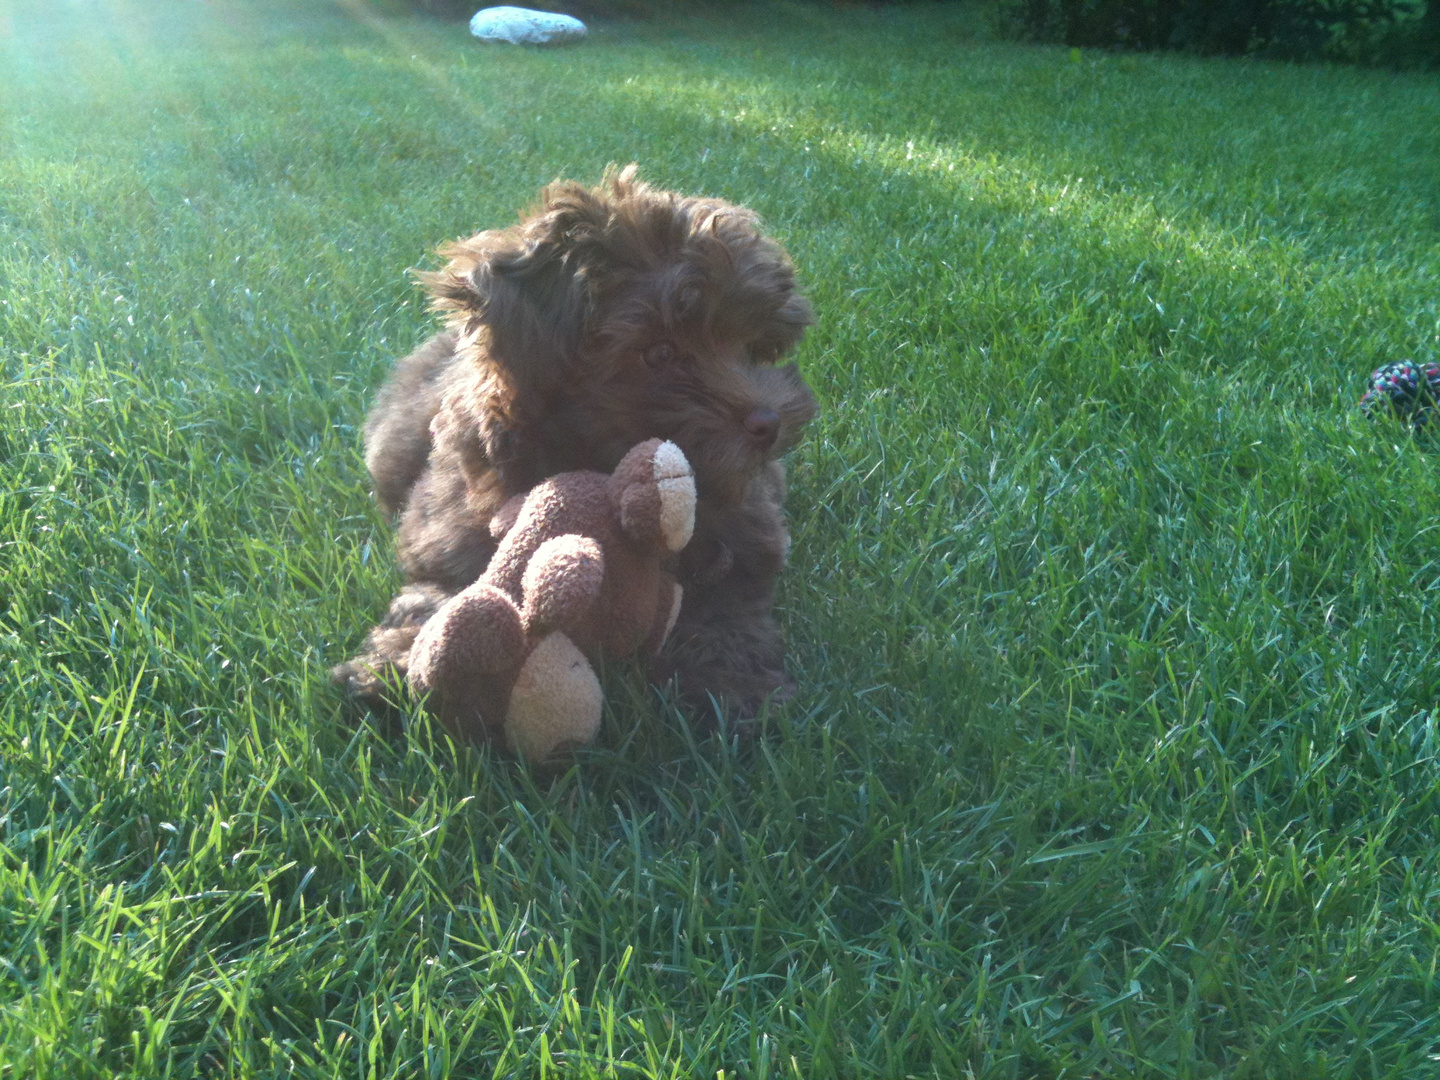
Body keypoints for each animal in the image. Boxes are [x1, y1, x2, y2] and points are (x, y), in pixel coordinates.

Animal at [329, 167, 817, 728]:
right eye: (659, 353)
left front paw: (734, 683)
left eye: (754, 347)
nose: (768, 422)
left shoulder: (747, 522)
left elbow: (729, 604)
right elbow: (444, 582)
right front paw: (395, 659)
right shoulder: (448, 525)